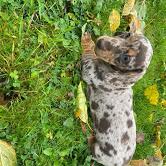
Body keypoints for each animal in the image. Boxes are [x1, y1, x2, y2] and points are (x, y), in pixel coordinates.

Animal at [81, 31, 152, 166]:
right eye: (127, 35)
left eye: (126, 58)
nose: (101, 42)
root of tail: (124, 162)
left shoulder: (89, 70)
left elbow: (88, 53)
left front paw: (87, 42)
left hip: (100, 153)